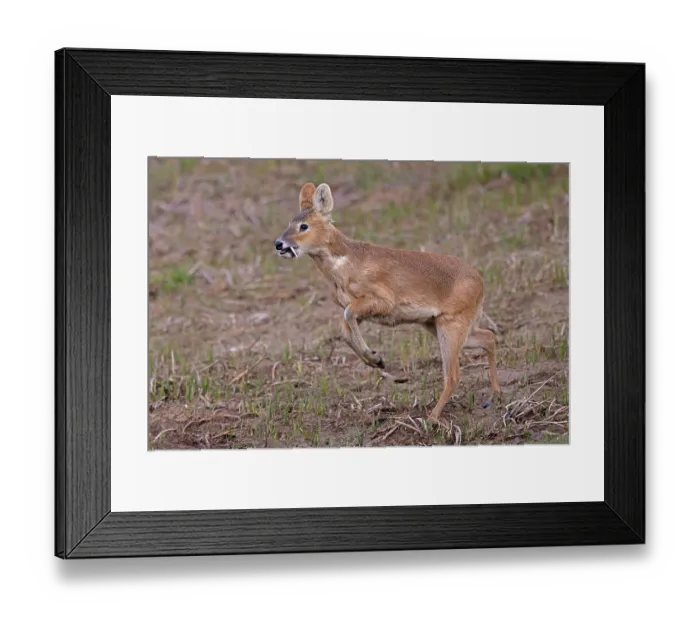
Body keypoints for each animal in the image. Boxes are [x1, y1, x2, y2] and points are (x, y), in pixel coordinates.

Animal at [274, 182, 501, 424]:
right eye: (289, 222)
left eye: (303, 226)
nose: (279, 243)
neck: (345, 264)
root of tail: (480, 283)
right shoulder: (360, 309)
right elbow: (344, 330)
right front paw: (376, 360)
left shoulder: (382, 301)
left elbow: (348, 316)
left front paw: (376, 358)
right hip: (439, 325)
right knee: (488, 337)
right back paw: (493, 397)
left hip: (451, 326)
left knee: (453, 375)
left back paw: (431, 419)